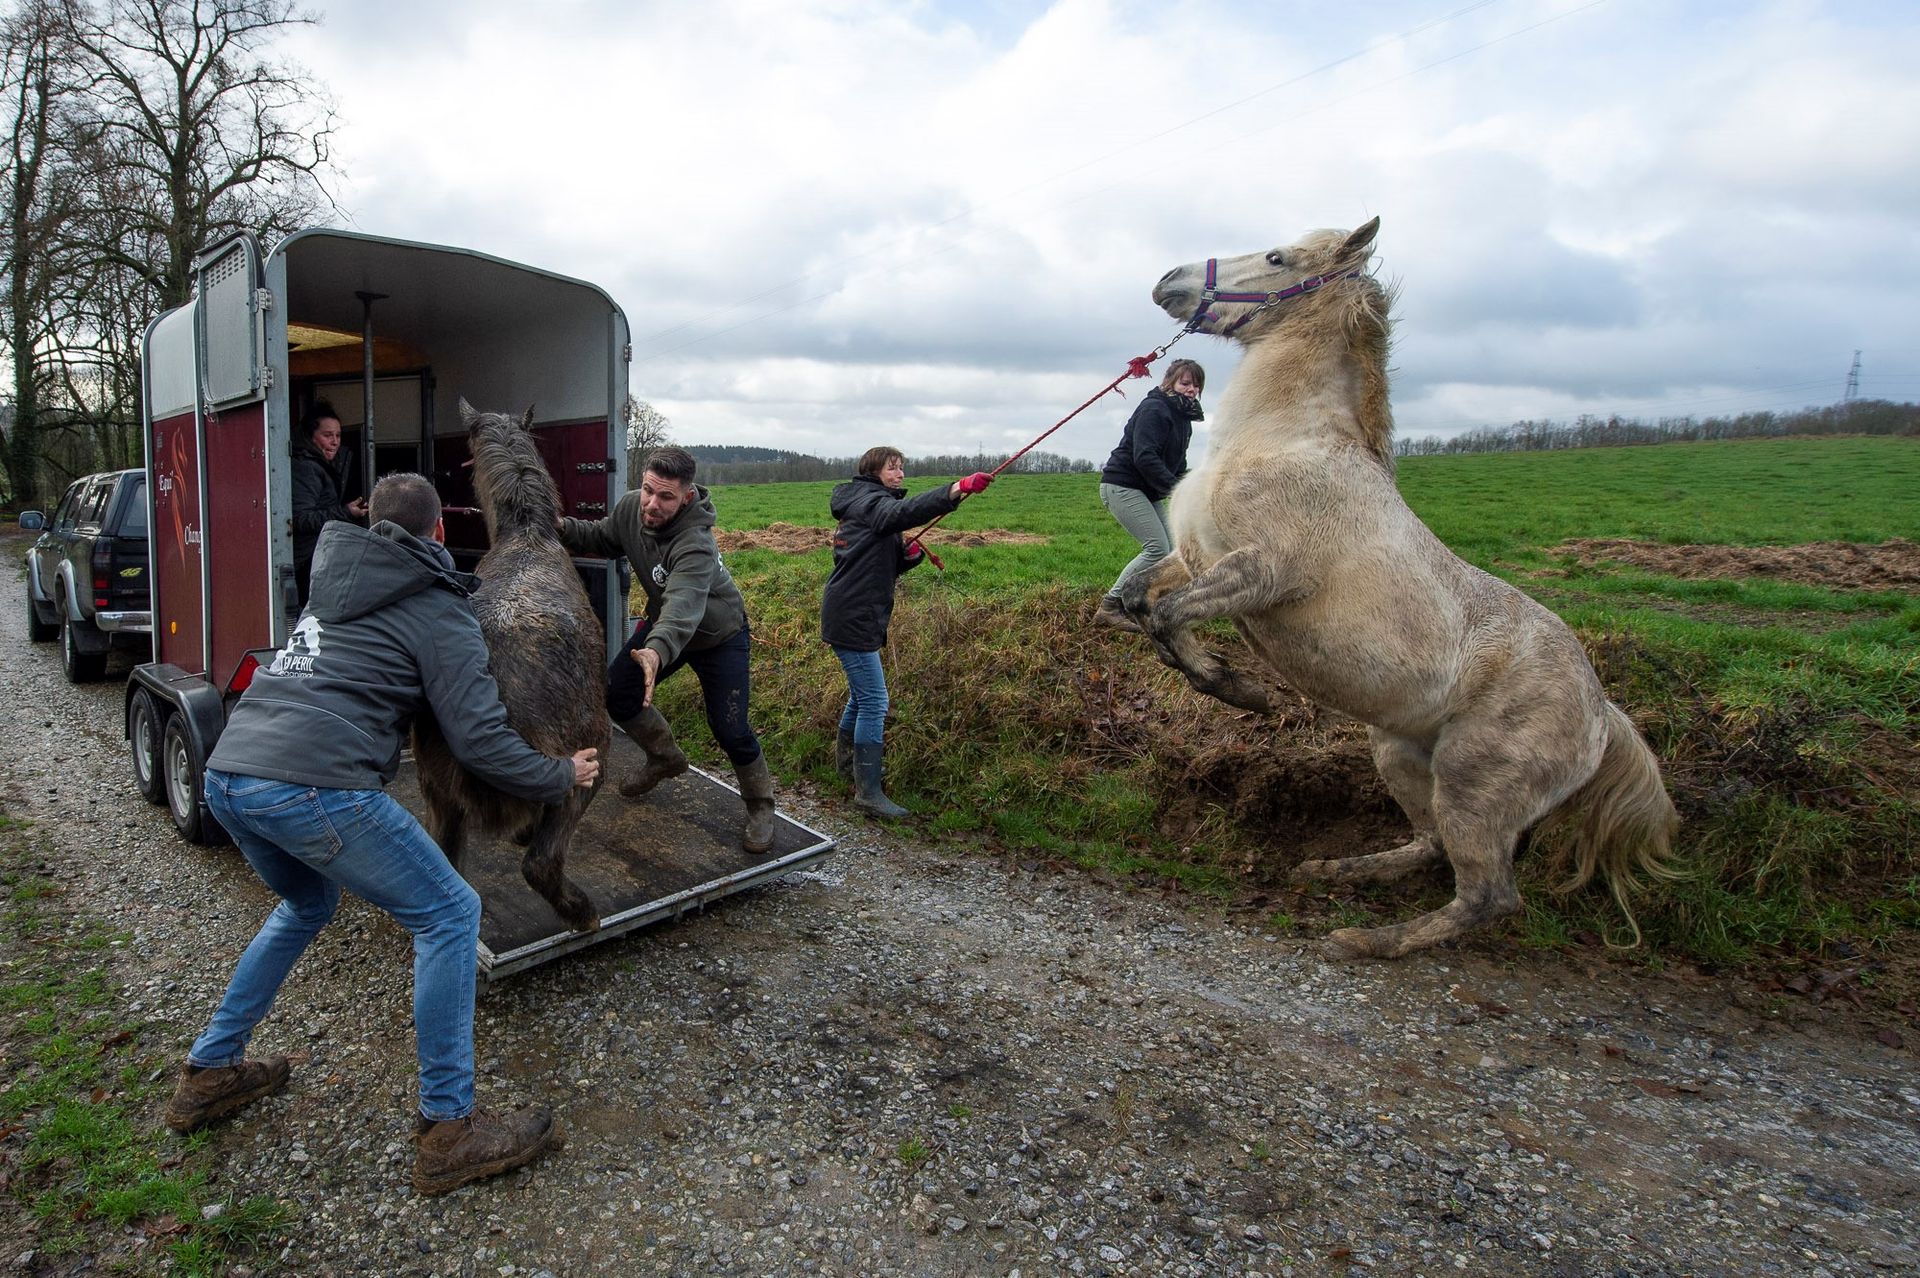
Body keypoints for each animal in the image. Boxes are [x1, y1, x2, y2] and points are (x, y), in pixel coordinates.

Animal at [1121, 218, 1681, 955]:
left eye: (1277, 257)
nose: (1168, 281)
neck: (1285, 441)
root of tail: (1602, 714)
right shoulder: (1195, 557)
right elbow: (1142, 604)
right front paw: (1229, 683)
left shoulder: (1263, 572)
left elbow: (1167, 617)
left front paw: (1243, 692)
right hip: (1399, 752)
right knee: (1431, 846)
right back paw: (1340, 871)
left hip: (1473, 787)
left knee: (1489, 895)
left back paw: (1369, 941)